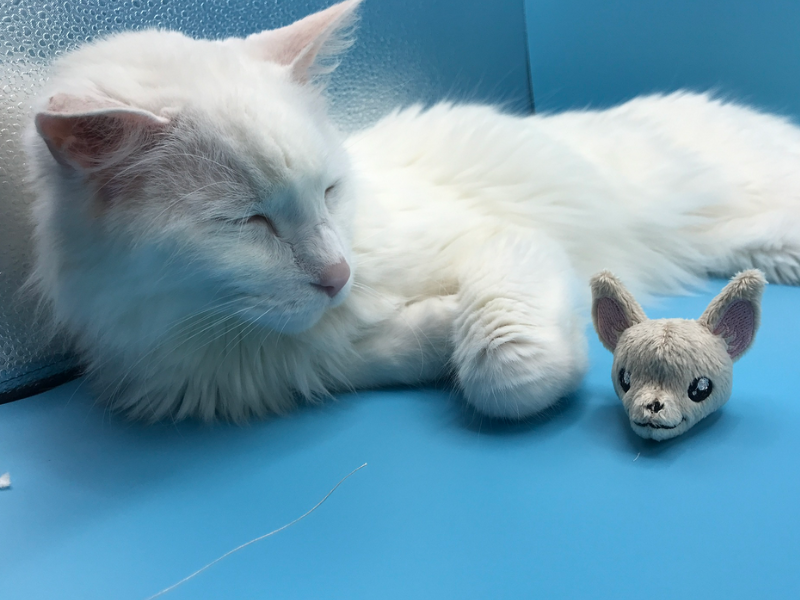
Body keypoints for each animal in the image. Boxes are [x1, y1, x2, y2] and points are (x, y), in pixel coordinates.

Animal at [25, 0, 800, 422]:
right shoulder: (317, 362)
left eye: (330, 191)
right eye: (248, 222)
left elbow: (503, 362)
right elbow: (401, 346)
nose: (336, 275)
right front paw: (439, 328)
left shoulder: (511, 243)